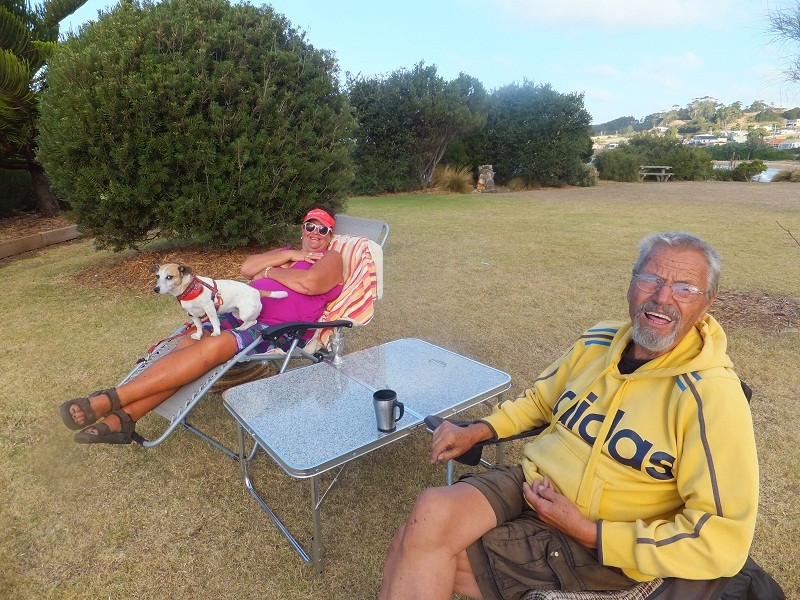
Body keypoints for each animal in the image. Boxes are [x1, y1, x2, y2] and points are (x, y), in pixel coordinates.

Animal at [153, 263, 287, 340]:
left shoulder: (209, 308)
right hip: (236, 313)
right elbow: (199, 326)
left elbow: (213, 321)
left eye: (169, 277)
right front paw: (199, 335)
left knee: (253, 321)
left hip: (245, 313)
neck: (189, 289)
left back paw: (242, 328)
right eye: (157, 276)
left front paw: (216, 332)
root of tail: (256, 291)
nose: (155, 289)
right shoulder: (192, 314)